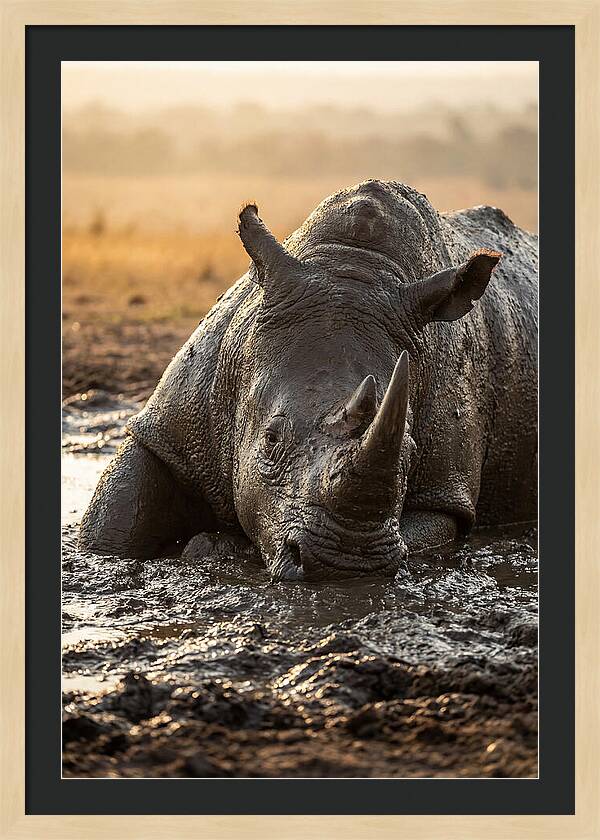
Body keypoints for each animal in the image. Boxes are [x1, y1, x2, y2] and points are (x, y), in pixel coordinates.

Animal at [79, 180, 537, 580]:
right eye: (270, 439)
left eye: (410, 450)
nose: (346, 564)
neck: (352, 265)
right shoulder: (169, 426)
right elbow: (112, 524)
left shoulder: (445, 492)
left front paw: (214, 547)